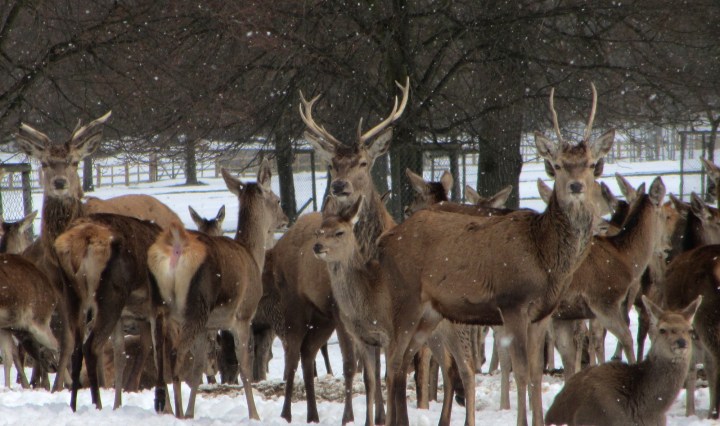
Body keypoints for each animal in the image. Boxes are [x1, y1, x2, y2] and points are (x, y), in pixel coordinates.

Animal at [147, 160, 287, 420]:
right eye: (278, 199)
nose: (285, 217)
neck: (253, 256)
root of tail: (175, 251)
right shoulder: (242, 316)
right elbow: (245, 367)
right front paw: (254, 415)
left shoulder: (209, 326)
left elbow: (199, 368)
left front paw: (191, 412)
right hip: (195, 306)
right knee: (175, 355)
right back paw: (177, 412)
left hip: (158, 308)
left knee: (159, 354)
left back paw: (168, 408)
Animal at [252, 78, 408, 425]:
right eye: (333, 164)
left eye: (363, 162)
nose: (339, 186)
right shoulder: (341, 310)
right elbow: (353, 367)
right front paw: (350, 417)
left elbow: (377, 369)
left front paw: (380, 416)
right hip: (293, 305)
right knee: (292, 357)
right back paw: (286, 413)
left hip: (319, 317)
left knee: (308, 354)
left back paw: (312, 413)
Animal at [376, 83, 613, 426]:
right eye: (556, 165)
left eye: (593, 164)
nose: (576, 186)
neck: (545, 258)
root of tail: (385, 240)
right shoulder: (512, 303)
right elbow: (522, 373)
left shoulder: (542, 313)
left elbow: (537, 374)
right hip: (404, 297)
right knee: (394, 363)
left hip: (429, 312)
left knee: (403, 361)